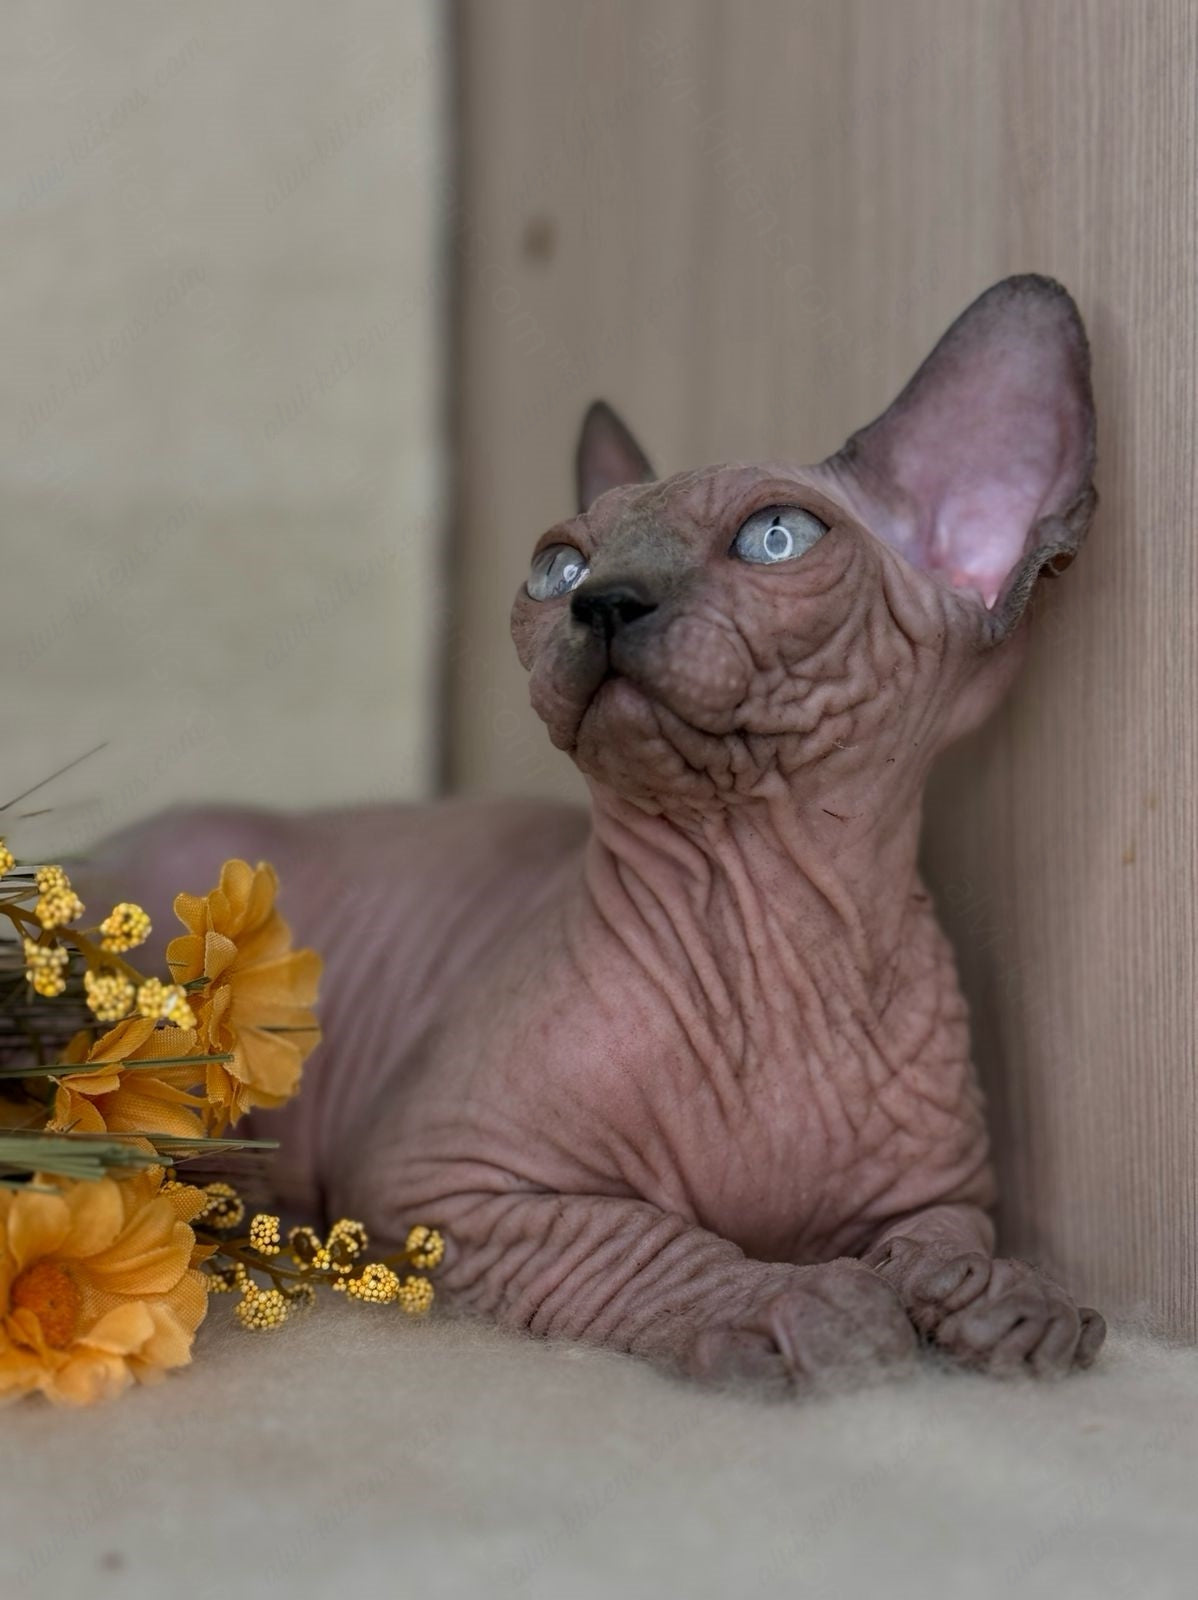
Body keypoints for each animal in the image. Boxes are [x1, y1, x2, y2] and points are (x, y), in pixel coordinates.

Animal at [109, 272, 1100, 1388]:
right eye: (557, 565)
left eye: (777, 537)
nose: (604, 604)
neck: (775, 951)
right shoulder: (444, 1182)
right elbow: (646, 1240)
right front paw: (793, 1302)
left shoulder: (945, 1193)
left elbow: (948, 1241)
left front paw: (1006, 1299)